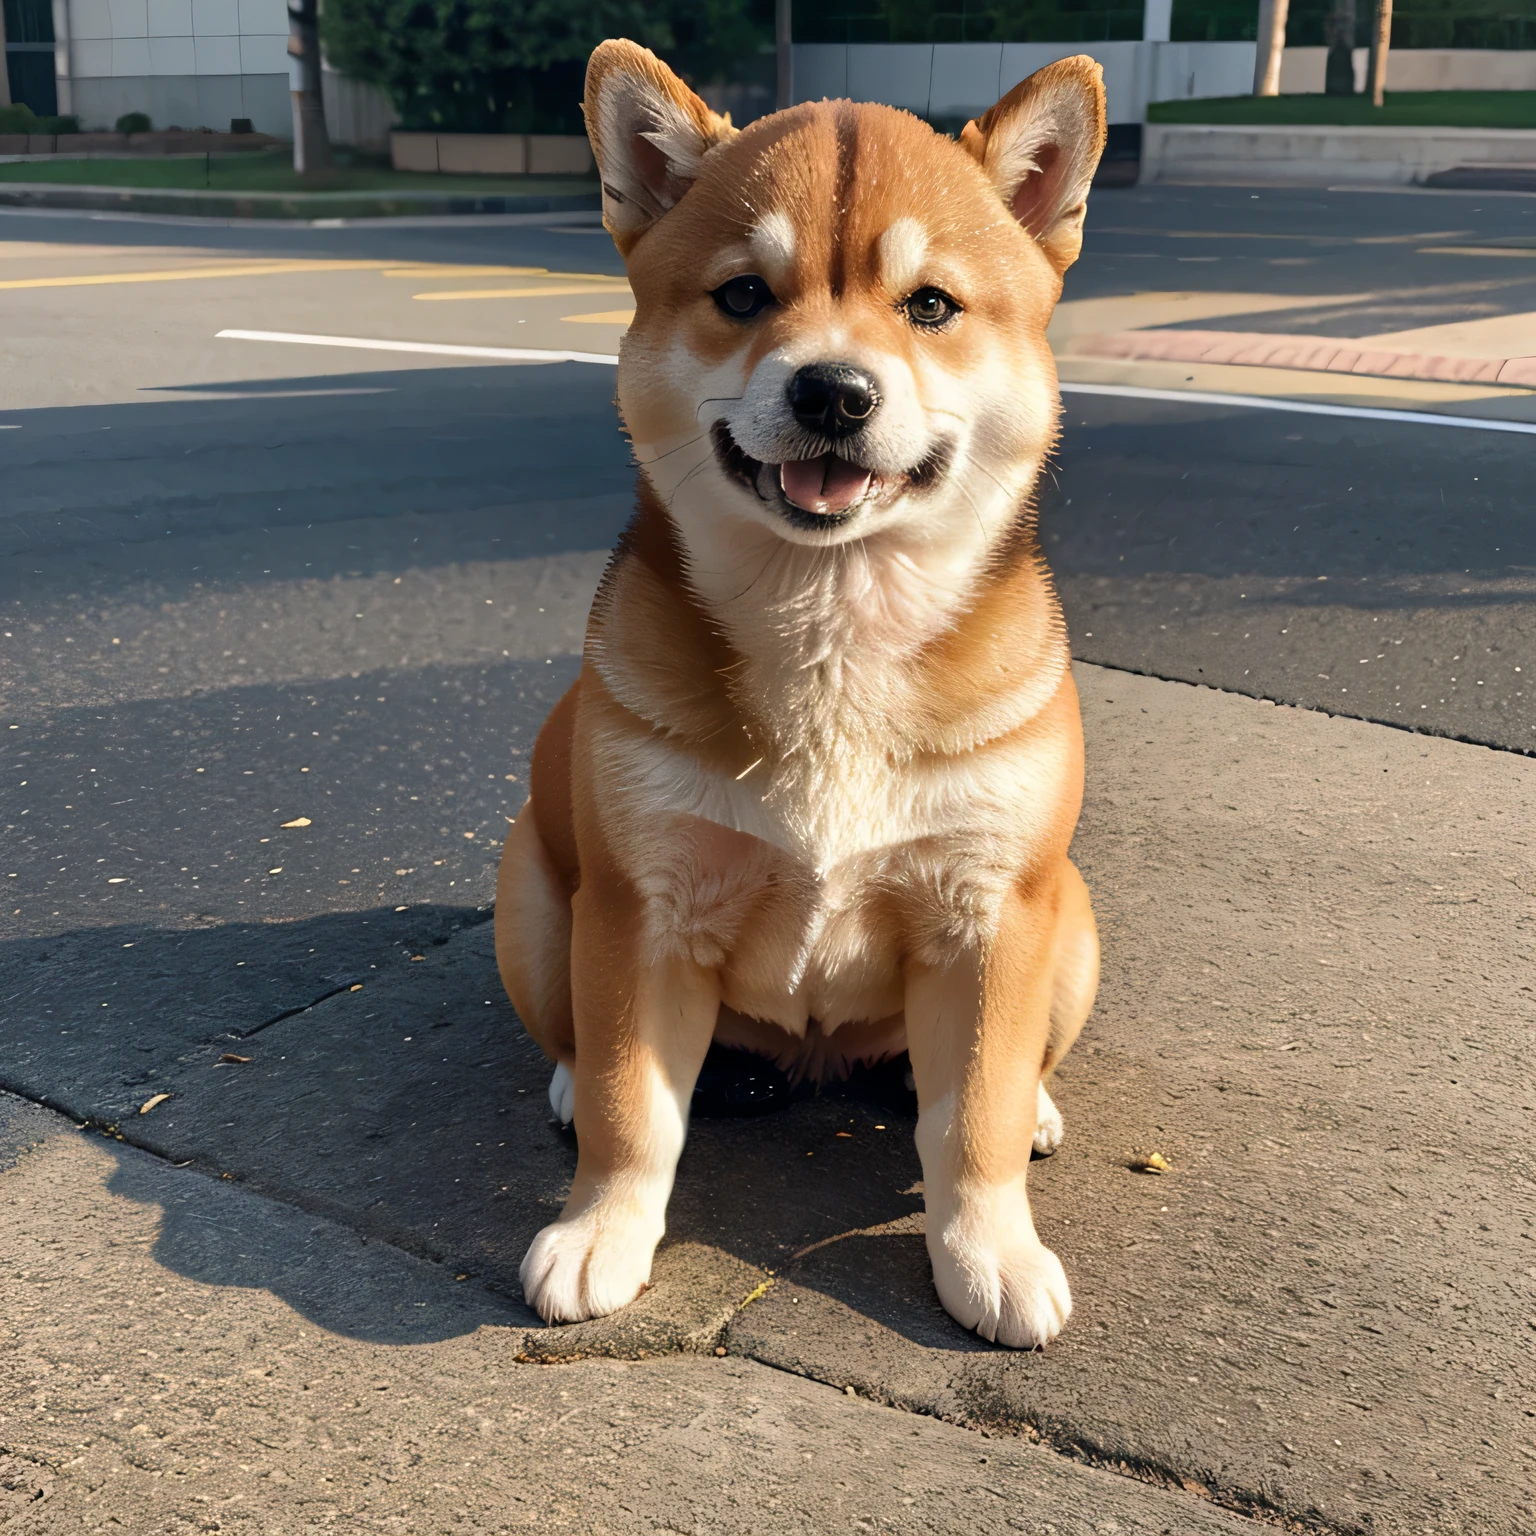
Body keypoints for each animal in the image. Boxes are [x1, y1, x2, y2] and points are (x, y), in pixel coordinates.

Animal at [497, 38, 1112, 1345]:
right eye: (742, 296)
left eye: (929, 305)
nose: (833, 390)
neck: (835, 627)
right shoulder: (641, 910)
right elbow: (633, 1106)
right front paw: (602, 1227)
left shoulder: (996, 912)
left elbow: (973, 1113)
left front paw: (987, 1247)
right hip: (530, 888)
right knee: (574, 1035)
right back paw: (569, 1083)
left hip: (1074, 919)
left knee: (1008, 1073)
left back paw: (1035, 1109)